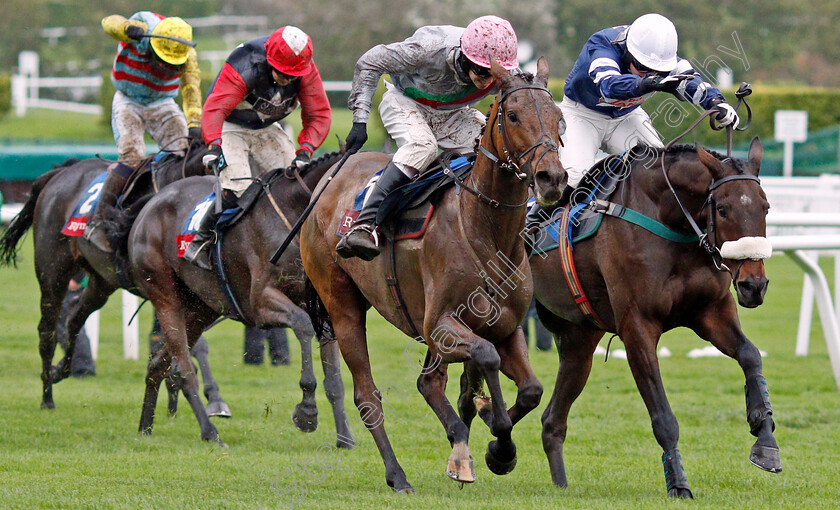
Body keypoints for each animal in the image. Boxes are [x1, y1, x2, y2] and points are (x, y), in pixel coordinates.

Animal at [0, 140, 230, 414]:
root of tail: (63, 170)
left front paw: (195, 396)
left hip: (102, 281)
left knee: (75, 319)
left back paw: (60, 371)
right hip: (52, 269)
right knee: (48, 330)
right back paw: (47, 396)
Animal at [124, 153, 352, 448]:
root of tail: (149, 207)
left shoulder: (323, 310)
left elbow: (335, 382)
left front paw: (345, 438)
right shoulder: (260, 303)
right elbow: (302, 325)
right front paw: (307, 411)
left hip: (201, 309)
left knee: (158, 367)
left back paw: (145, 428)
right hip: (164, 294)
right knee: (183, 370)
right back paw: (210, 432)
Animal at [298, 57, 568, 492]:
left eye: (559, 117)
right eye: (513, 115)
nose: (552, 179)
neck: (484, 230)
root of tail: (326, 182)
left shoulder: (507, 326)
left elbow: (530, 389)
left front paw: (497, 448)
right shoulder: (441, 324)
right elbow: (486, 357)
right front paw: (496, 431)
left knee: (429, 383)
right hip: (341, 305)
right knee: (367, 396)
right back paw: (398, 475)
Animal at [532, 138, 780, 498]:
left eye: (766, 207)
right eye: (722, 209)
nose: (754, 285)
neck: (670, 221)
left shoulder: (711, 310)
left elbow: (750, 357)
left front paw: (765, 436)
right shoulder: (637, 326)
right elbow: (663, 415)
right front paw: (678, 483)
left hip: (579, 341)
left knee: (552, 419)